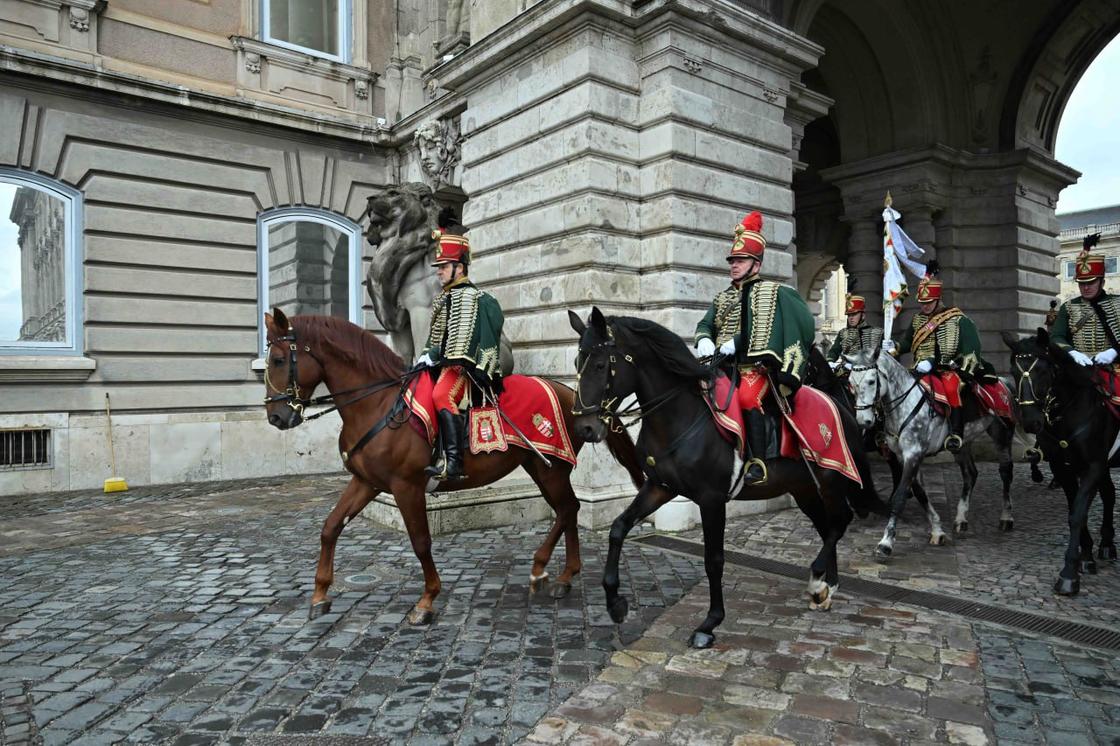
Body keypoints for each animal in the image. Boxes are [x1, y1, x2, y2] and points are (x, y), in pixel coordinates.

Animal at [263, 306, 645, 622]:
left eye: (279, 360)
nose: (276, 417)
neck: (378, 405)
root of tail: (571, 395)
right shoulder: (366, 483)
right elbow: (330, 527)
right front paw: (320, 593)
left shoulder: (406, 487)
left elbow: (420, 541)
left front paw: (427, 599)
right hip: (540, 468)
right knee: (569, 510)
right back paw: (564, 575)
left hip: (550, 468)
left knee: (567, 509)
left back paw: (543, 569)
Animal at [568, 306, 882, 645]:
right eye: (576, 363)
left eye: (601, 365)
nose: (585, 428)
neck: (679, 416)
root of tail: (840, 406)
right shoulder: (659, 487)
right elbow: (618, 528)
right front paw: (615, 603)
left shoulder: (711, 499)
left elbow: (714, 559)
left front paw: (710, 622)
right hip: (804, 489)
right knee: (827, 528)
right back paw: (826, 586)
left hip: (830, 480)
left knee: (839, 522)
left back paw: (819, 581)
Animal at [842, 344, 1021, 555]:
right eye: (851, 383)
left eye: (871, 381)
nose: (864, 421)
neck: (904, 403)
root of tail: (1002, 382)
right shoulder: (904, 456)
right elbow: (920, 493)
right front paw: (937, 529)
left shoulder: (914, 454)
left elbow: (901, 496)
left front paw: (886, 543)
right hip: (962, 445)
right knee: (970, 474)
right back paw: (961, 518)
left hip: (1002, 435)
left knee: (1005, 472)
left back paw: (1006, 517)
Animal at [1003, 327, 1115, 591]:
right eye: (1013, 371)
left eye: (1044, 371)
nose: (1031, 422)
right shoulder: (1063, 468)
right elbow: (1075, 510)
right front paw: (1086, 556)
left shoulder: (1092, 466)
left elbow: (1078, 514)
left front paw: (1069, 574)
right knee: (1109, 493)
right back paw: (1106, 543)